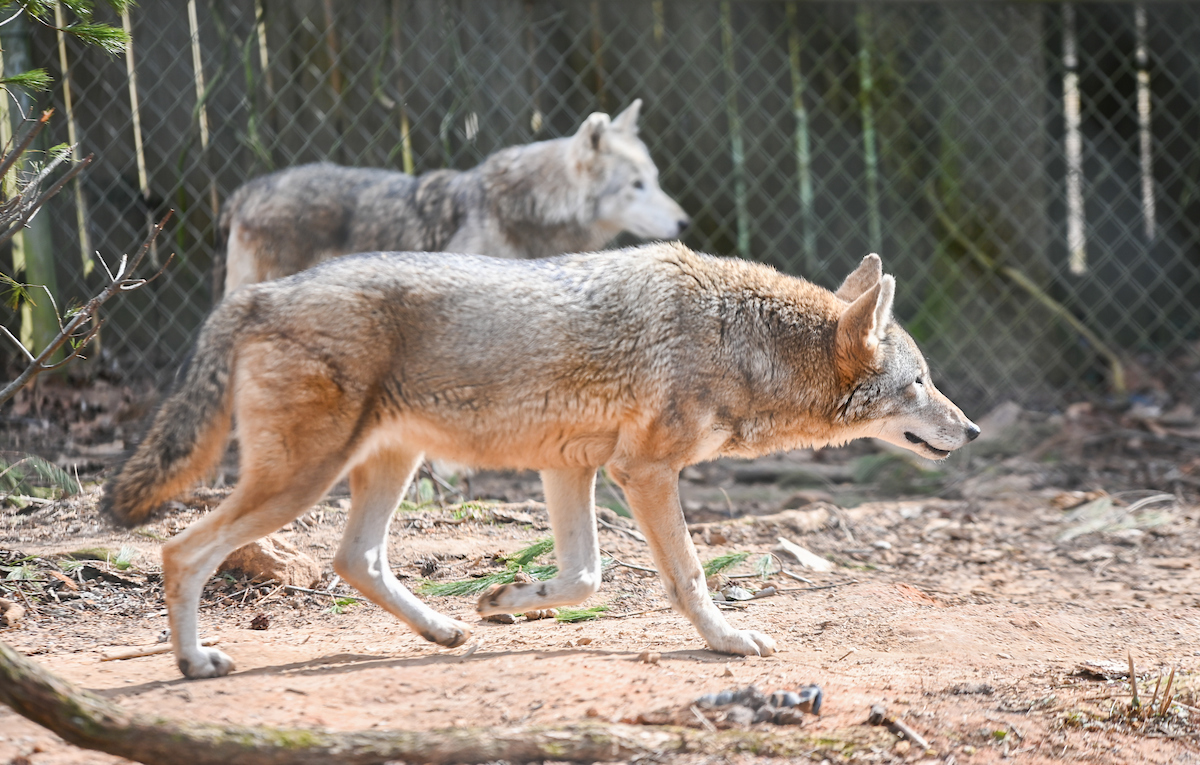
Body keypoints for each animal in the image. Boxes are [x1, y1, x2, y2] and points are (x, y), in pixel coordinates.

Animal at [104, 244, 978, 679]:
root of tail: (258, 294)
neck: (738, 337)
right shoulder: (643, 473)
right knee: (181, 550)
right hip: (298, 482)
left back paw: (448, 629)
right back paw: (193, 661)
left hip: (385, 467)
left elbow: (583, 577)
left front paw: (504, 598)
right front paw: (728, 642)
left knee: (357, 559)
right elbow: (690, 576)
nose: (970, 430)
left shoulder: (572, 468)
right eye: (921, 383)